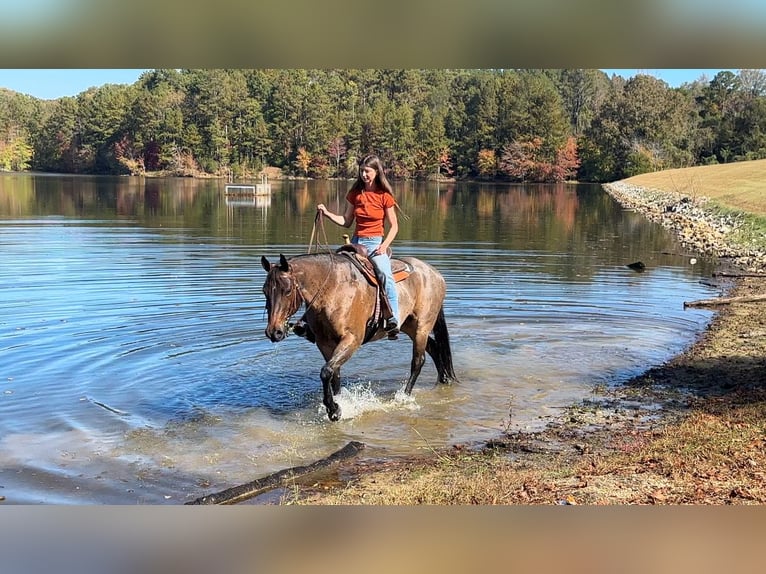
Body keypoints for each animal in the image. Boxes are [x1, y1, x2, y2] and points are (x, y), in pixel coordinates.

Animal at [260, 252, 460, 424]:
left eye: (287, 290)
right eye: (265, 291)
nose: (274, 332)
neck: (333, 289)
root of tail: (434, 273)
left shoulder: (351, 340)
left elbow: (326, 371)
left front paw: (334, 410)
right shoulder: (325, 344)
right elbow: (334, 374)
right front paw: (339, 403)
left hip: (422, 327)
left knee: (418, 361)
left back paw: (404, 396)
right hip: (410, 326)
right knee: (434, 348)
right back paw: (444, 381)